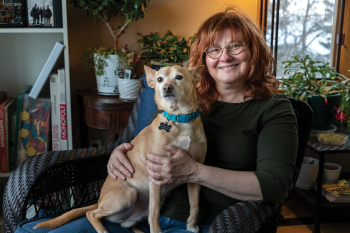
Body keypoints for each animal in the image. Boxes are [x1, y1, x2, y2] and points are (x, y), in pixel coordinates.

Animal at [36, 65, 208, 233]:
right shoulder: (156, 175)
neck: (181, 119)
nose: (166, 88)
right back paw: (103, 230)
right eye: (159, 79)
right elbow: (154, 214)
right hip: (128, 194)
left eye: (179, 77)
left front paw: (192, 226)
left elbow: (195, 205)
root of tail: (99, 201)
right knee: (91, 213)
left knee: (127, 224)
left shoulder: (194, 173)